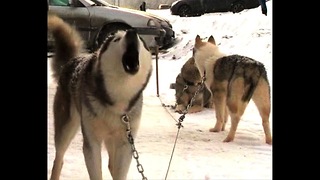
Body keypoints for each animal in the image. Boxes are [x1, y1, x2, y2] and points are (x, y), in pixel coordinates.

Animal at [47, 13, 152, 180]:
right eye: (116, 39)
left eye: (141, 40)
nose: (132, 32)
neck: (118, 99)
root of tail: (72, 61)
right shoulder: (92, 142)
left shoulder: (125, 144)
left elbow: (120, 172)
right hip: (66, 128)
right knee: (59, 159)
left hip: (112, 140)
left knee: (111, 165)